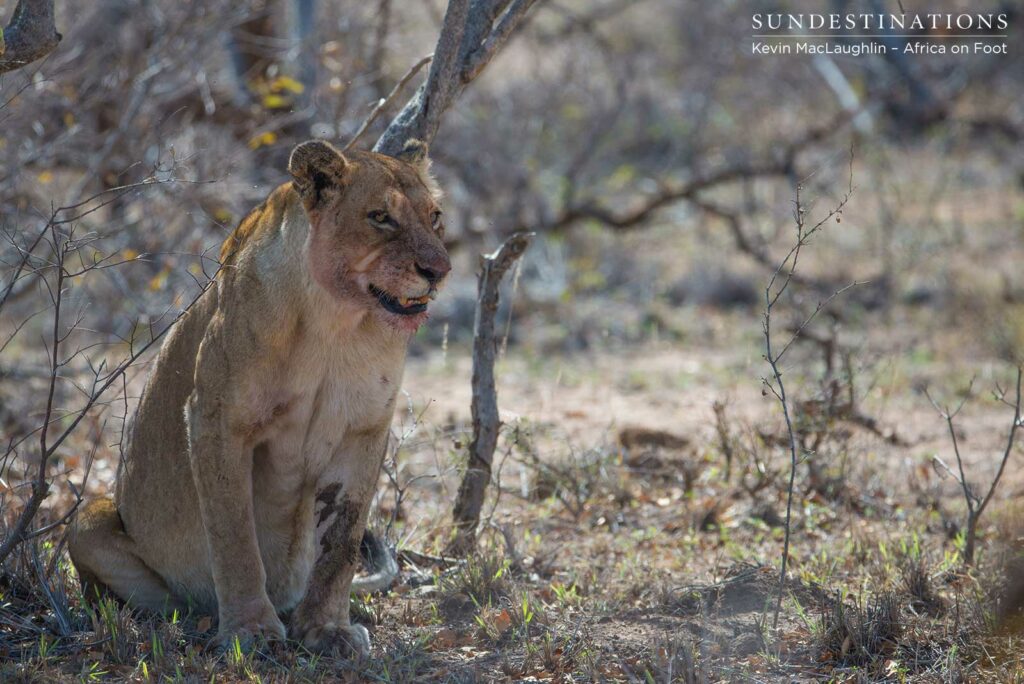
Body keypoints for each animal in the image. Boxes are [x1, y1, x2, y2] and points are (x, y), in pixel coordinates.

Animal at [68, 138, 450, 656]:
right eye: (380, 217)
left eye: (435, 217)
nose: (440, 271)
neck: (336, 321)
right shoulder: (217, 419)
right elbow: (235, 535)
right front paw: (250, 630)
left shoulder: (364, 429)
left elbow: (343, 543)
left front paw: (326, 629)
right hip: (87, 521)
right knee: (160, 597)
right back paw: (191, 622)